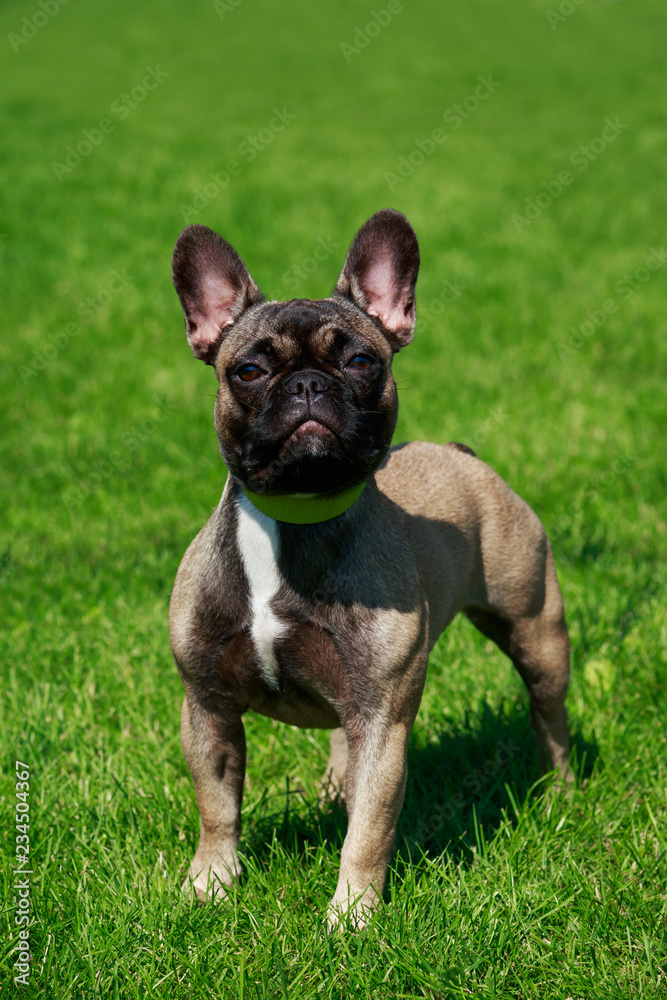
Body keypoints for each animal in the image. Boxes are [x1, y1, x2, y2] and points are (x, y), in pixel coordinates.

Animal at [170, 211, 572, 928]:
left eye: (361, 361)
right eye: (248, 370)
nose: (307, 384)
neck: (296, 515)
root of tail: (460, 452)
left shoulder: (385, 720)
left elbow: (370, 827)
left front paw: (352, 915)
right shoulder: (207, 706)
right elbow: (216, 806)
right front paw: (210, 884)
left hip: (536, 633)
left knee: (548, 718)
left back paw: (560, 794)